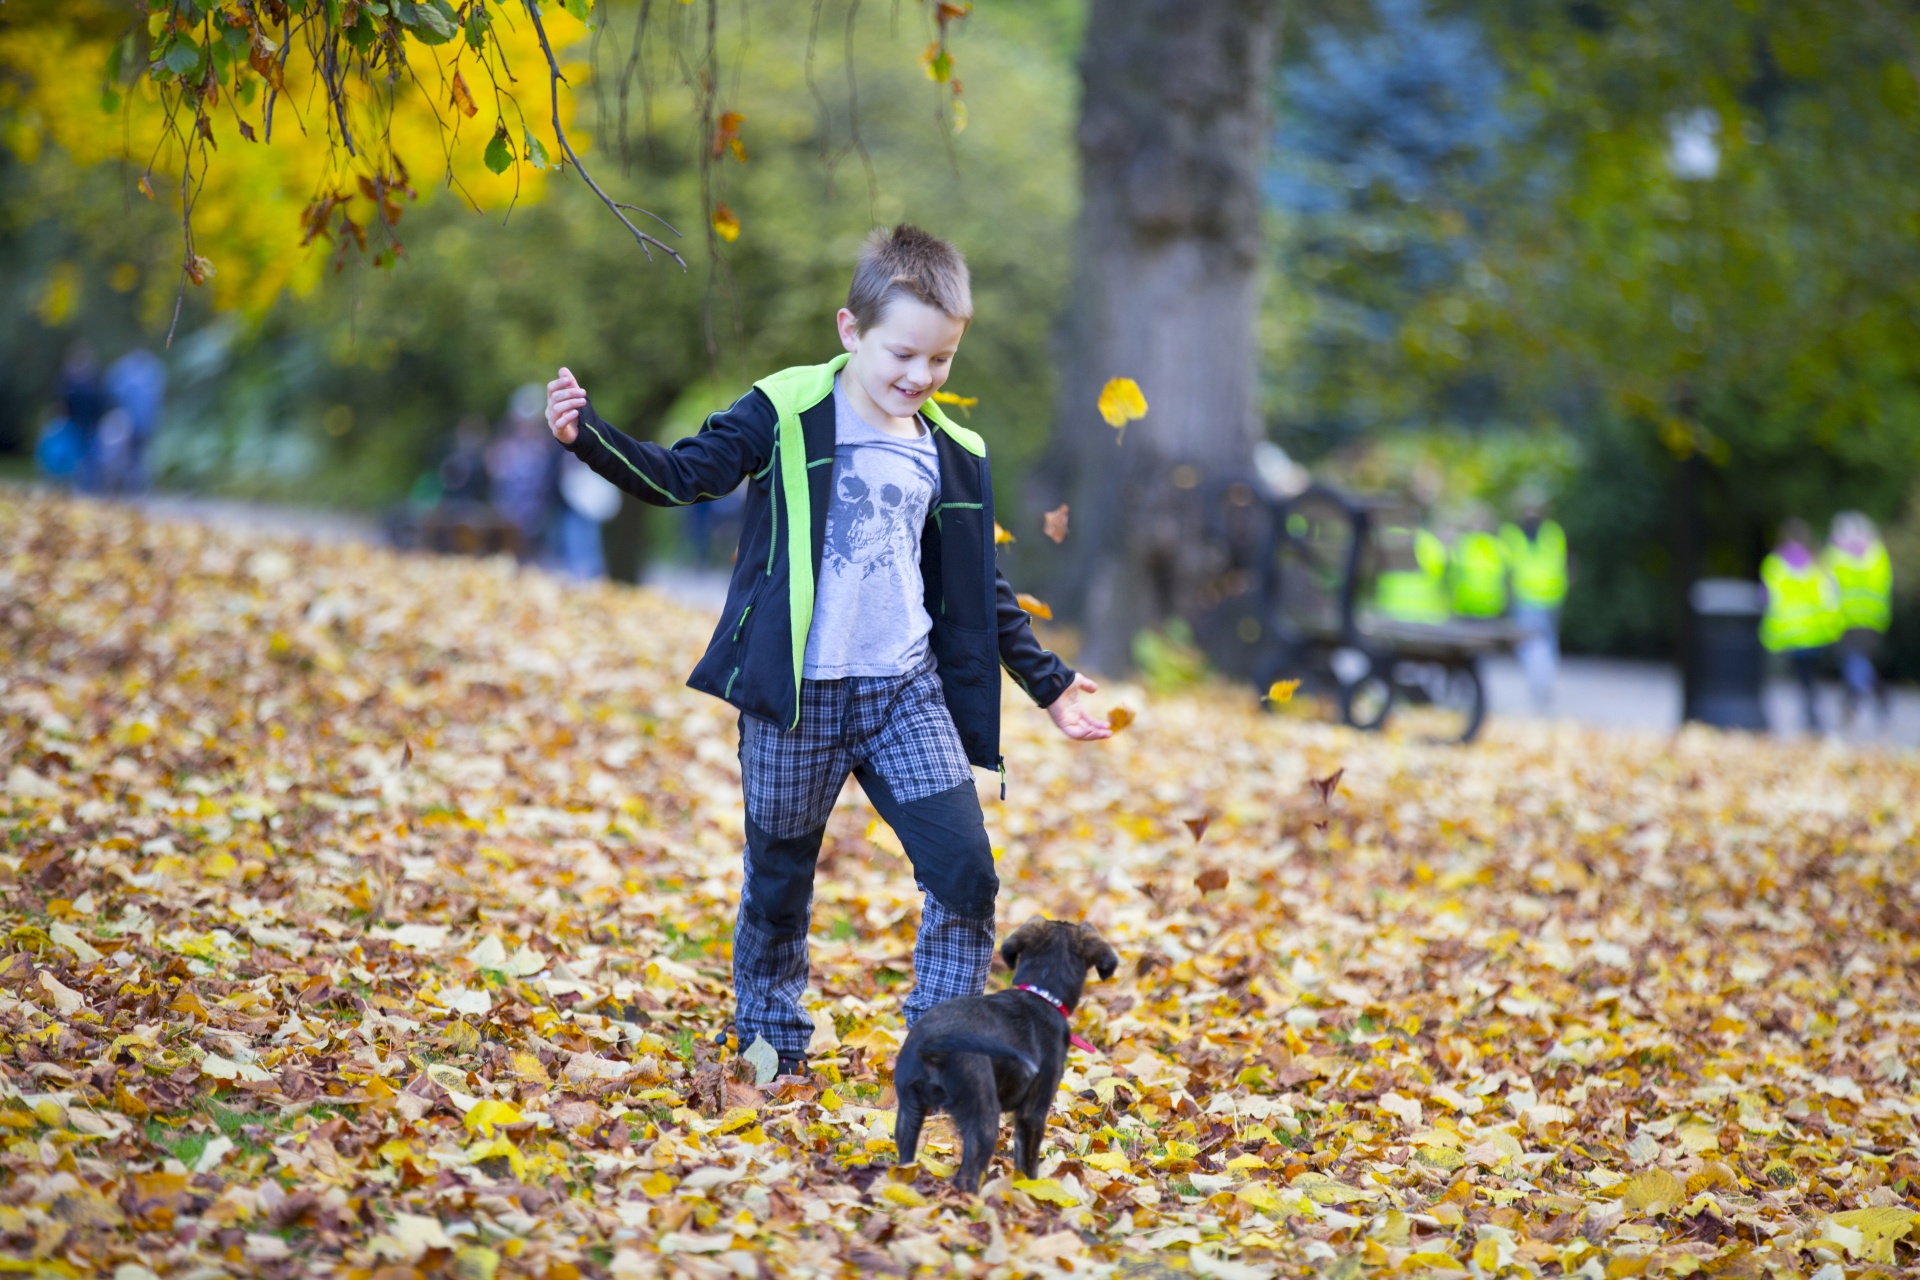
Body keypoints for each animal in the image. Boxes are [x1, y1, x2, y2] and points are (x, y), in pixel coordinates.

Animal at [890, 921, 1121, 1189]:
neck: (1042, 994)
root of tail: (931, 1045)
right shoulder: (1034, 1110)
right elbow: (1027, 1161)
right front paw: (1030, 1188)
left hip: (909, 1109)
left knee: (905, 1158)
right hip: (983, 1115)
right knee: (967, 1173)